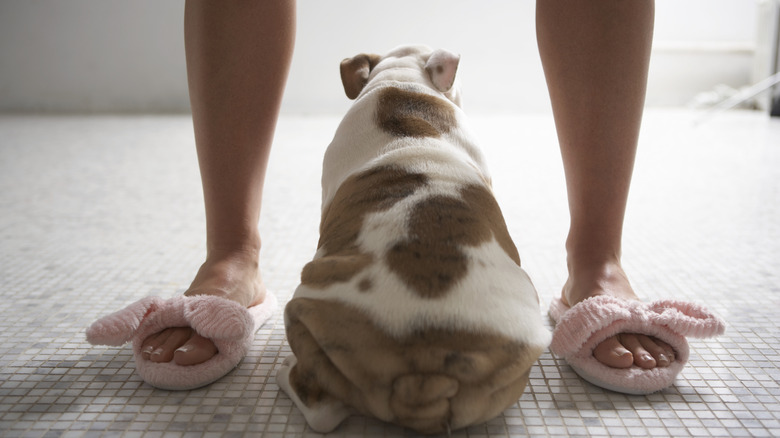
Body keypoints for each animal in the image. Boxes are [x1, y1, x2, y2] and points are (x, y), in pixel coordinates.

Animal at [278, 45, 552, 434]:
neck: (403, 83)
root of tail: (427, 366)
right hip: (509, 374)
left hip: (305, 309)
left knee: (323, 412)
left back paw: (287, 373)